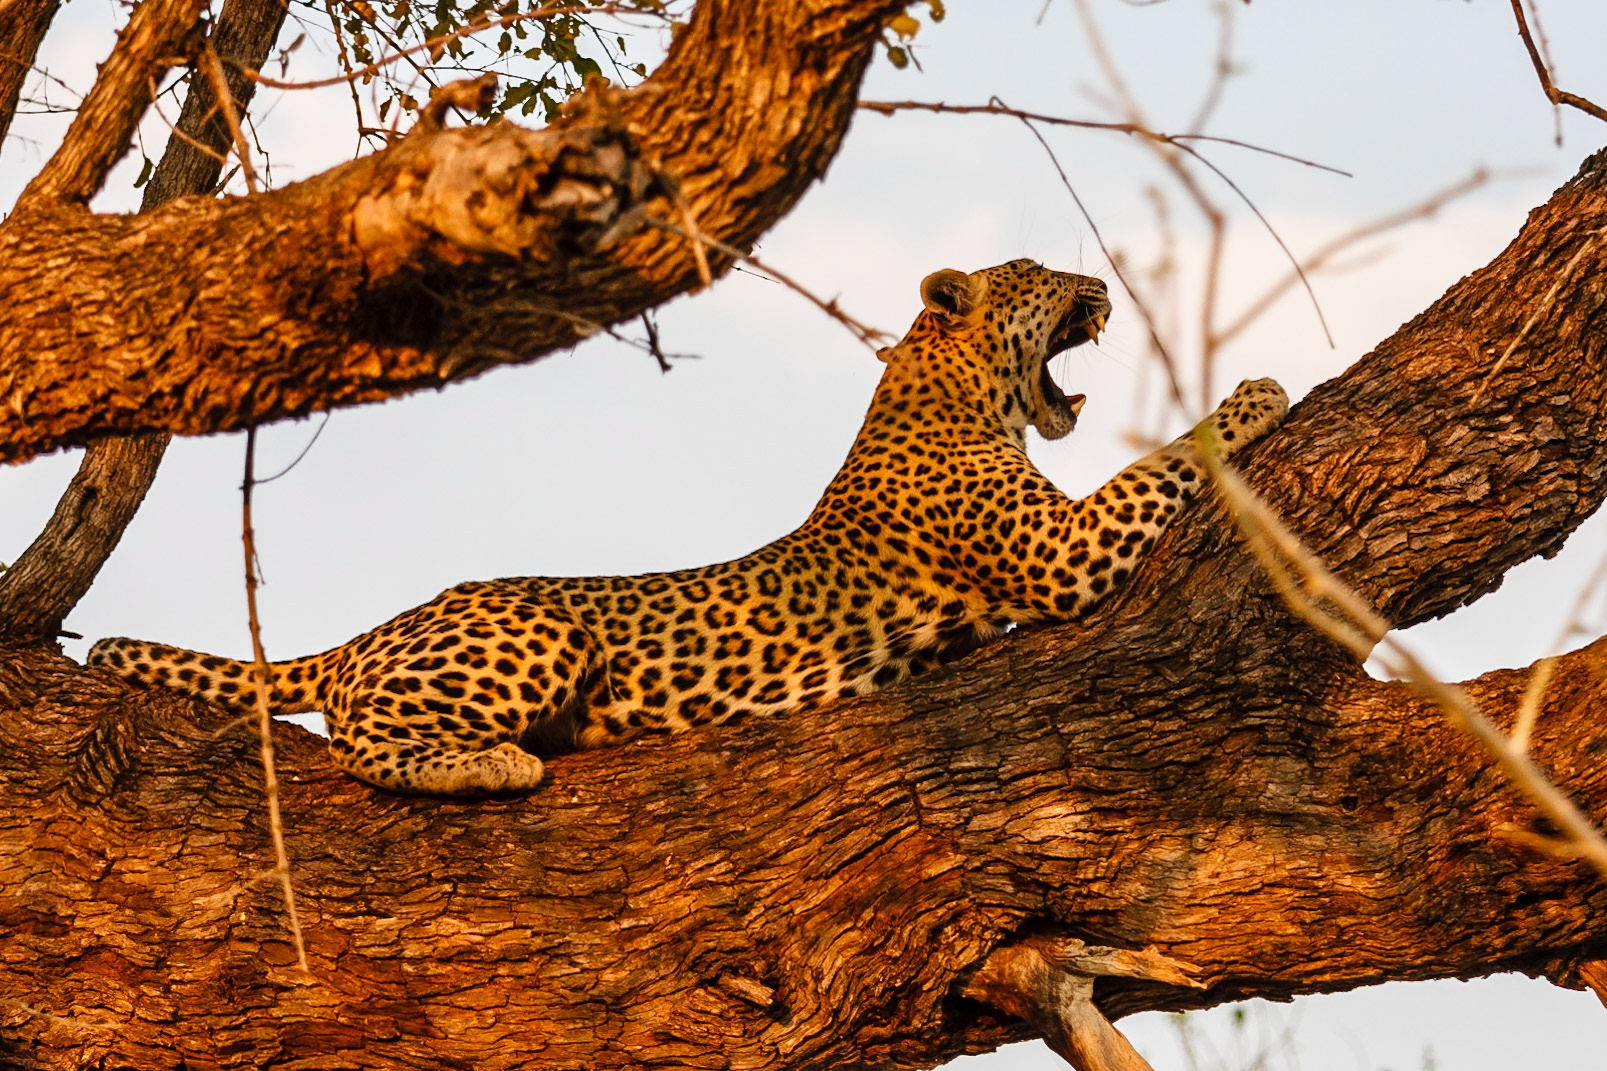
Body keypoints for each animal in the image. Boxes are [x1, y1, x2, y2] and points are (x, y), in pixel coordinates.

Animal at [88, 259, 1288, 797]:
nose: (1100, 284)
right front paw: (1260, 390)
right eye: (1037, 276)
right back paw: (494, 766)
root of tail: (374, 628)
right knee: (356, 738)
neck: (944, 391)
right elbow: (1170, 456)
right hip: (536, 637)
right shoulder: (1064, 553)